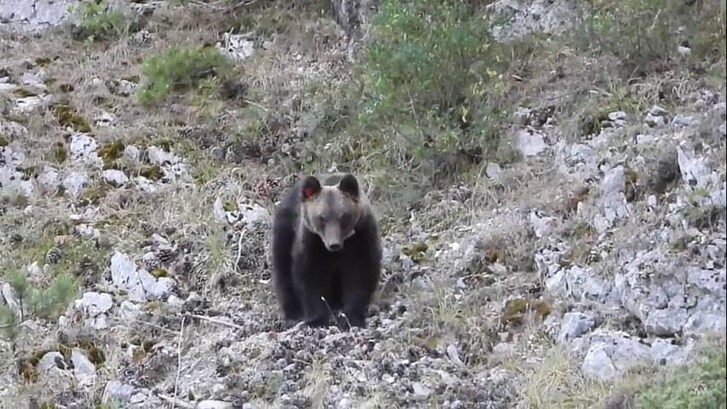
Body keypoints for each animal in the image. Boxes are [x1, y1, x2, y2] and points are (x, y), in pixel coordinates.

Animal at [270, 172, 382, 329]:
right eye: (321, 217)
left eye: (343, 216)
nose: (333, 244)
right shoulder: (312, 242)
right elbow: (311, 278)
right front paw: (316, 319)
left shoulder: (360, 238)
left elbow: (360, 275)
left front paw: (350, 317)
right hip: (285, 231)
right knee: (283, 272)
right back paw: (292, 315)